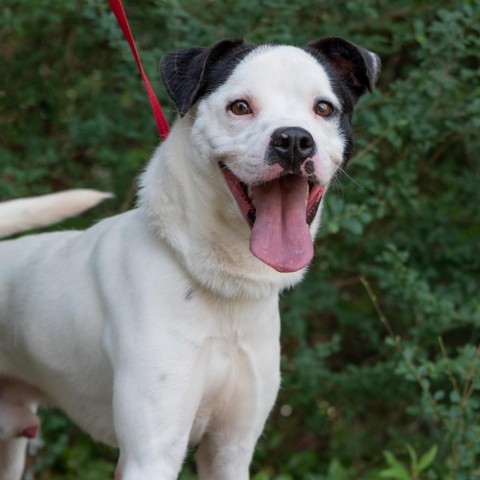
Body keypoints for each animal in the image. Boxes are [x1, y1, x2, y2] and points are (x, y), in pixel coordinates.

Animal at [0, 35, 378, 478]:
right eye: (240, 107)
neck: (224, 285)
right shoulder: (152, 453)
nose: (294, 141)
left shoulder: (230, 449)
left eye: (323, 108)